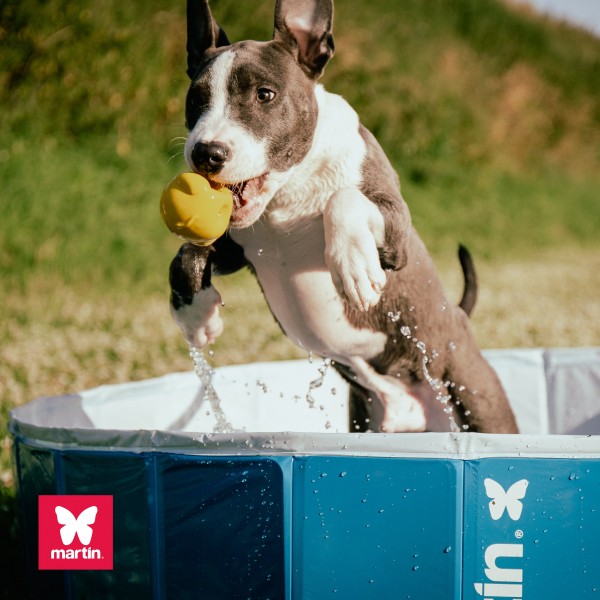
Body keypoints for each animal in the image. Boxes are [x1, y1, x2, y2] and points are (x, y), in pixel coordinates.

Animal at [170, 0, 520, 434]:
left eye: (265, 94)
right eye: (195, 99)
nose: (206, 153)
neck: (289, 192)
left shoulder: (396, 234)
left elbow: (344, 197)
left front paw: (355, 268)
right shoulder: (239, 251)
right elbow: (185, 256)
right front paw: (194, 316)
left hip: (476, 403)